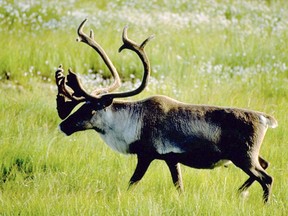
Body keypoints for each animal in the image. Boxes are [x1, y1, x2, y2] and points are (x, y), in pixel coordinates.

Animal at [55, 18, 278, 202]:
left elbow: (132, 182)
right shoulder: (171, 158)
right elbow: (179, 185)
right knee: (265, 164)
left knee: (267, 178)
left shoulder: (146, 154)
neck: (132, 121)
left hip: (244, 157)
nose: (63, 125)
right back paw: (240, 191)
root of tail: (265, 118)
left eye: (91, 109)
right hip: (246, 156)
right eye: (80, 105)